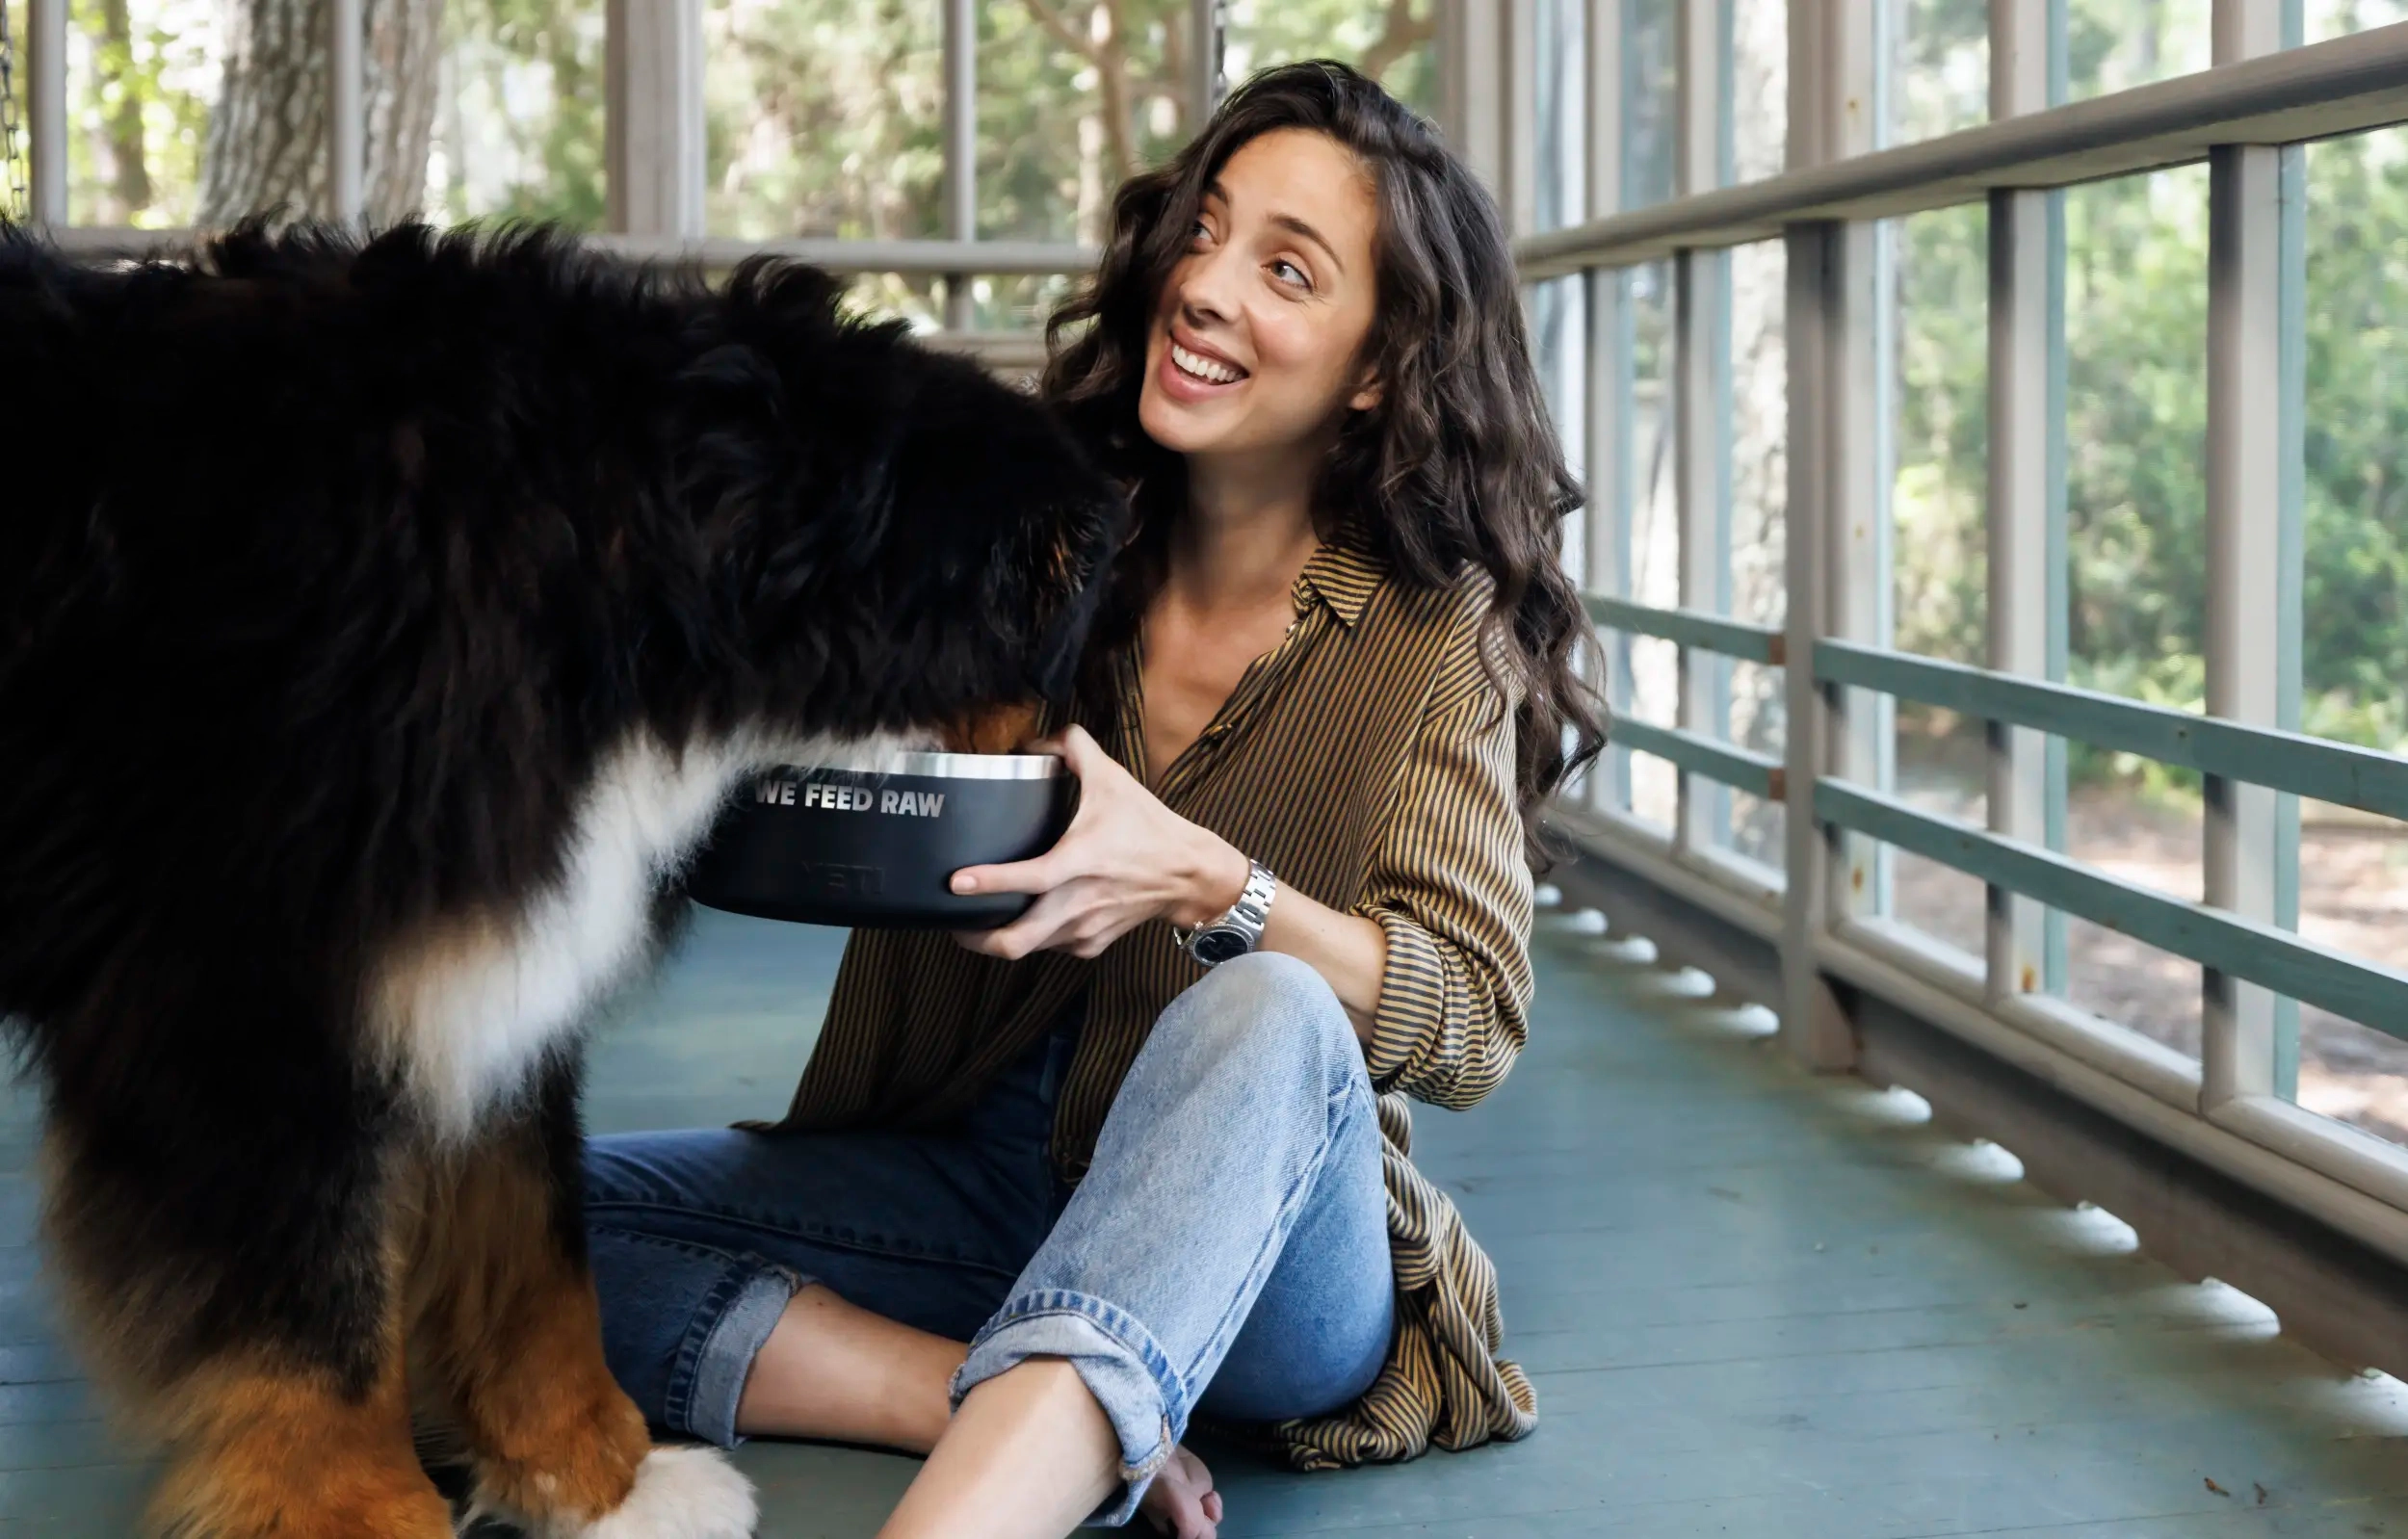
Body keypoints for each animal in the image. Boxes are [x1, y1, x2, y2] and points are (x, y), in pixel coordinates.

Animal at [0, 219, 1127, 1539]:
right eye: (1068, 651)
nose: (1075, 755)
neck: (614, 554)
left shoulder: (481, 962)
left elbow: (536, 1244)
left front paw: (603, 1481)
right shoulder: (261, 988)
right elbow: (322, 1311)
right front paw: (366, 1513)